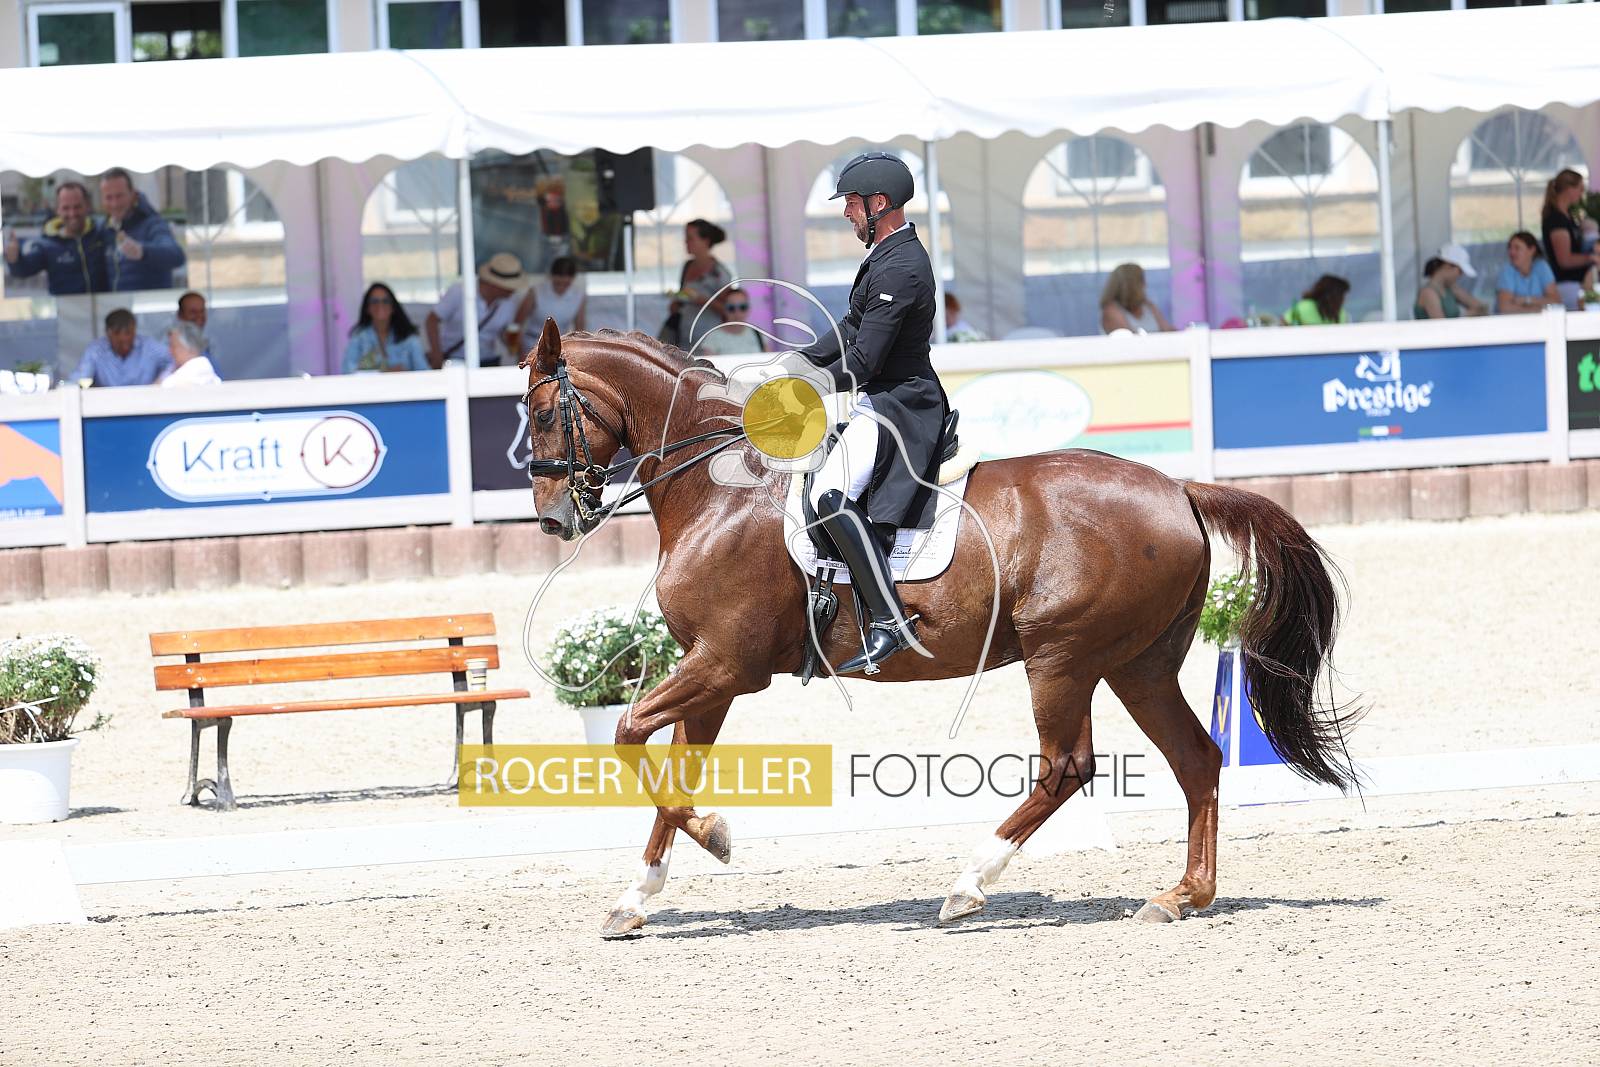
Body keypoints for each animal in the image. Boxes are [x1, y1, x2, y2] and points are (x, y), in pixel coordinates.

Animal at [519, 320, 1358, 937]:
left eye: (541, 411)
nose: (555, 520)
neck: (720, 489)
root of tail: (1179, 488)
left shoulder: (728, 662)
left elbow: (630, 732)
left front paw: (715, 836)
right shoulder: (710, 671)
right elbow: (673, 768)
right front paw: (636, 896)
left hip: (1062, 655)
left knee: (1067, 765)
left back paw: (967, 885)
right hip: (1137, 663)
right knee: (1195, 758)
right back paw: (1180, 895)